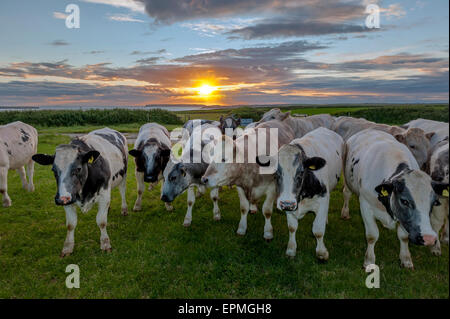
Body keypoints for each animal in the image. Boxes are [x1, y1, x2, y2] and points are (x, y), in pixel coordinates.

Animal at [32, 128, 128, 258]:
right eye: (53, 170)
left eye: (78, 168)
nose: (61, 199)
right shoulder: (68, 198)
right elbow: (70, 224)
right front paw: (67, 247)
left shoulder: (103, 194)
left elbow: (102, 221)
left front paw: (105, 244)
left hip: (123, 176)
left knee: (122, 191)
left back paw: (124, 209)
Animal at [274, 127, 344, 260]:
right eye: (275, 173)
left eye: (301, 172)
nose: (286, 204)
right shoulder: (290, 202)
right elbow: (292, 227)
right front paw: (291, 250)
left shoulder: (323, 199)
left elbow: (318, 230)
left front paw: (321, 253)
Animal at [342, 130, 444, 270]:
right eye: (404, 201)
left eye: (433, 203)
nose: (428, 238)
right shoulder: (365, 204)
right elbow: (372, 235)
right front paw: (369, 261)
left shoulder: (403, 219)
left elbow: (404, 237)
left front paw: (406, 259)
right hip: (348, 181)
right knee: (346, 194)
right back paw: (345, 212)